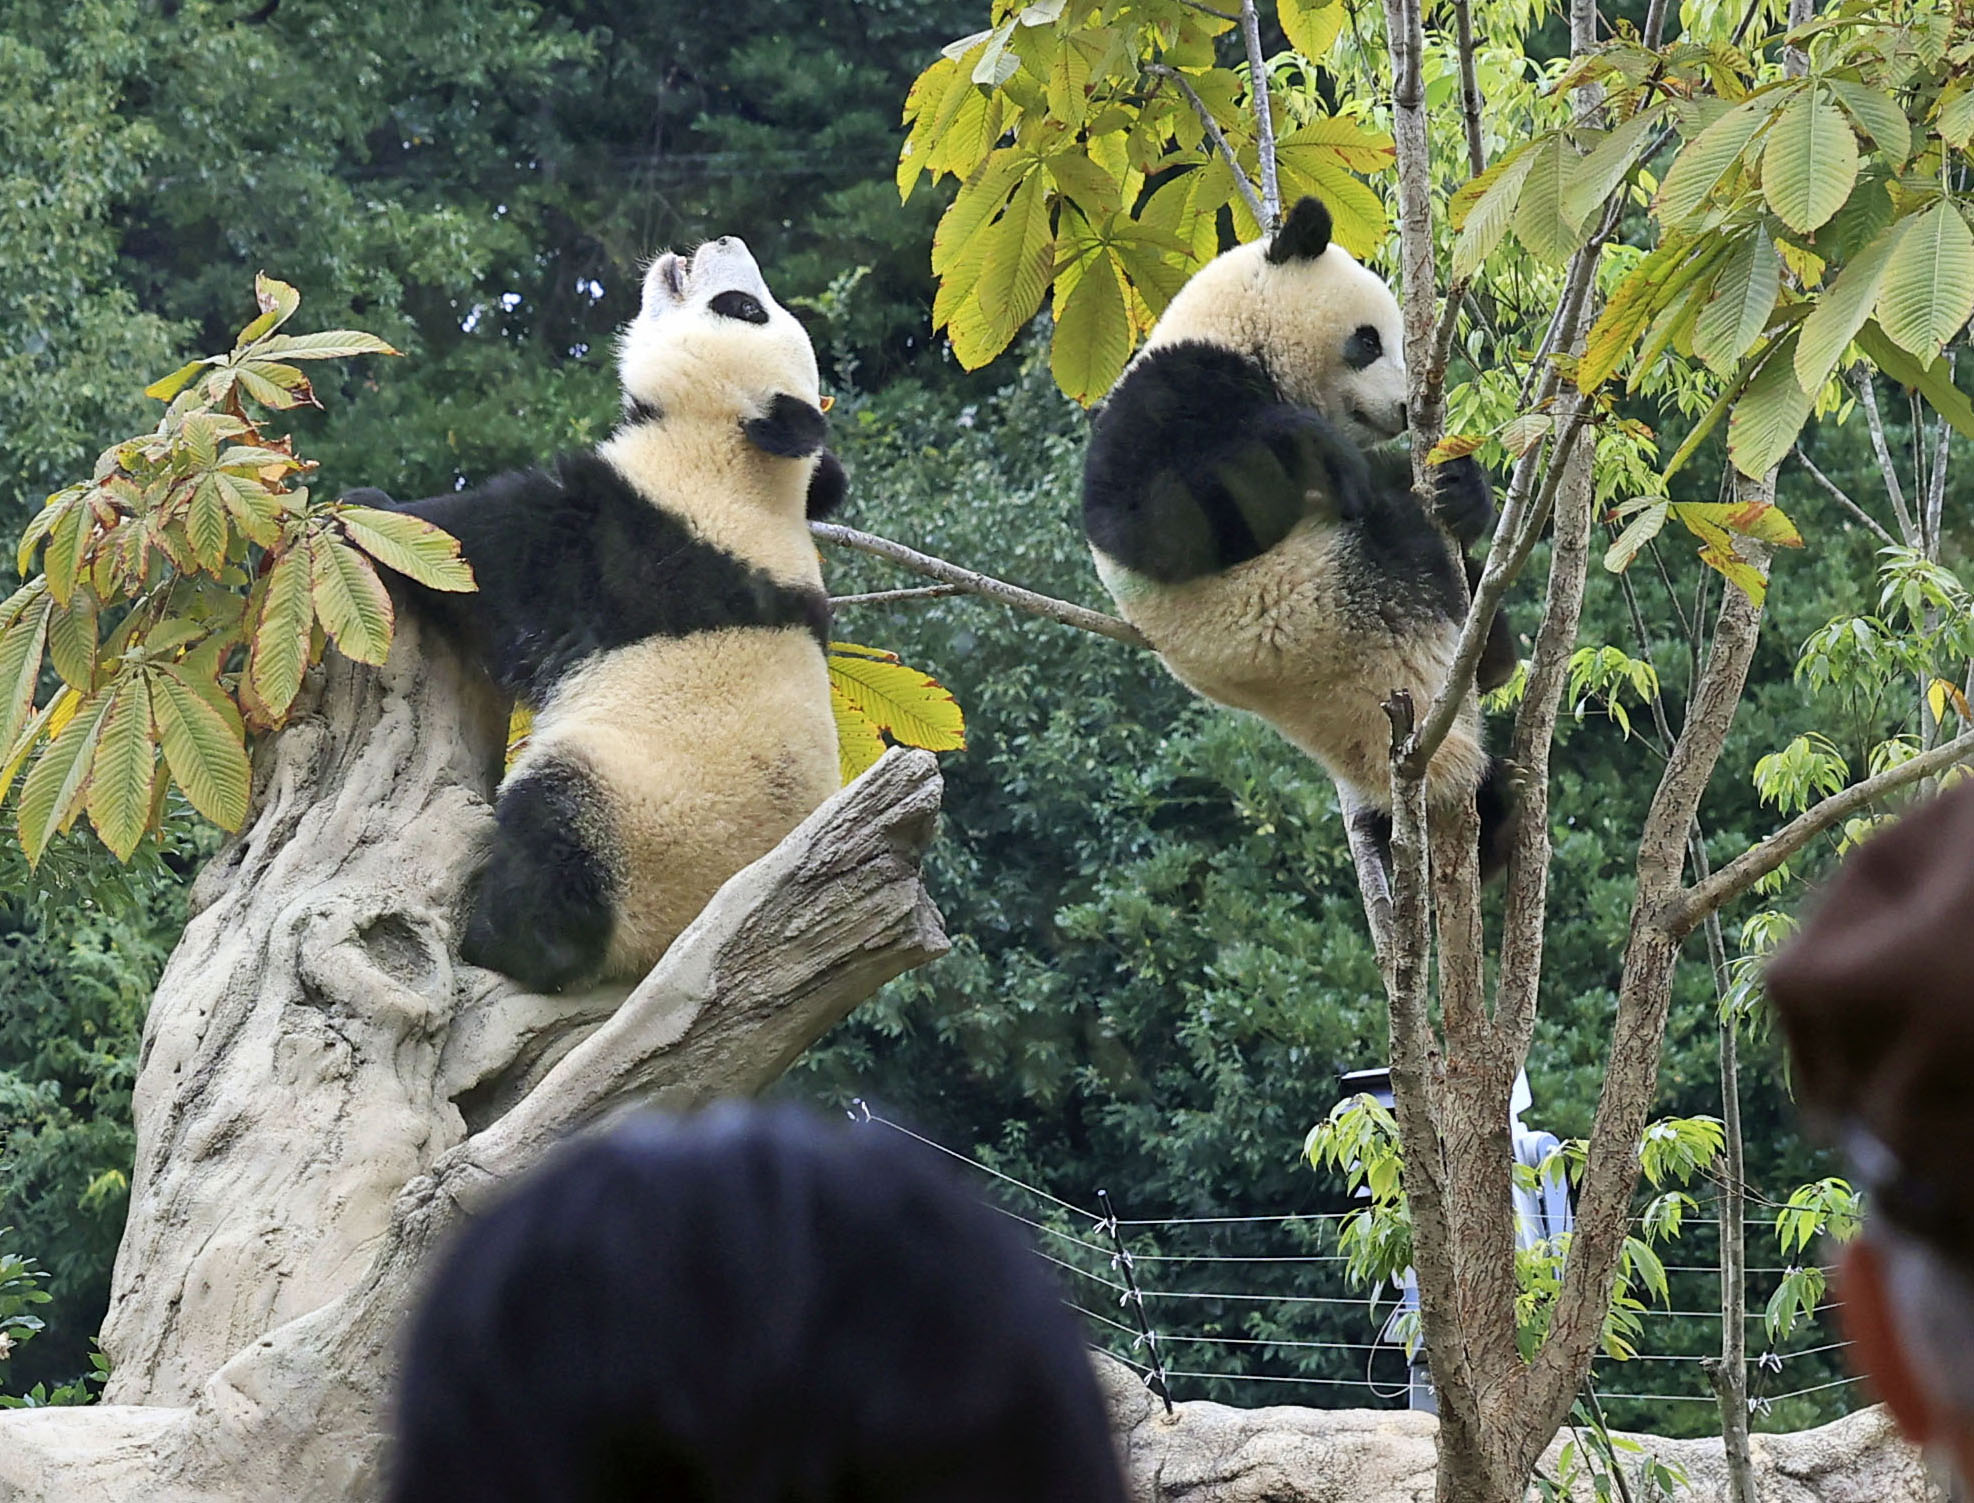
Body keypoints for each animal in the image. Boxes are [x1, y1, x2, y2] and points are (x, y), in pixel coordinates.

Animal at [351, 235, 844, 991]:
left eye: (742, 308)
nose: (725, 240)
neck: (739, 464)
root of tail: (660, 950)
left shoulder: (632, 536)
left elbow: (485, 553)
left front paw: (369, 505)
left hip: (632, 810)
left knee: (553, 832)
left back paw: (497, 939)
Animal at [1089, 194, 1516, 872]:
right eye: (1368, 341)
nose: (1405, 409)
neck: (1238, 333)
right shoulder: (1169, 392)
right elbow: (1149, 522)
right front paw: (1316, 451)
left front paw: (1461, 489)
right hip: (1321, 602)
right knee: (1397, 542)